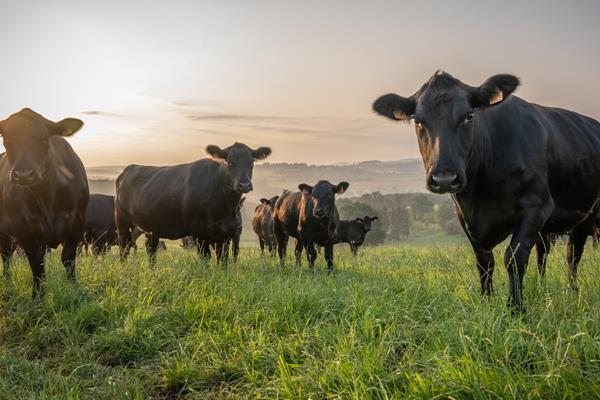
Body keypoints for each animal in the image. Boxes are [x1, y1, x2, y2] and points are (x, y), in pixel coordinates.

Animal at [0, 108, 88, 296]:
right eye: (7, 139)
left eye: (43, 139)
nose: (23, 174)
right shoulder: (24, 228)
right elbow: (36, 264)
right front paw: (38, 296)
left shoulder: (76, 223)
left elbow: (68, 259)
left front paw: (75, 289)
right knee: (6, 256)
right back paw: (7, 283)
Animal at [113, 143, 272, 262]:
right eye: (230, 162)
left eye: (251, 162)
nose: (244, 184)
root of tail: (128, 169)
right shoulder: (199, 232)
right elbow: (206, 258)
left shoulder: (226, 233)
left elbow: (223, 259)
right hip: (122, 222)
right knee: (124, 248)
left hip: (151, 228)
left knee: (150, 250)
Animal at [372, 71, 600, 310]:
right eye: (417, 121)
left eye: (469, 116)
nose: (445, 179)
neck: (480, 194)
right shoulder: (464, 215)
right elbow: (484, 261)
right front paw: (486, 301)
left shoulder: (537, 204)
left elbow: (514, 257)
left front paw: (515, 307)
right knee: (543, 253)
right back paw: (542, 288)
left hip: (588, 214)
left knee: (572, 254)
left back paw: (572, 292)